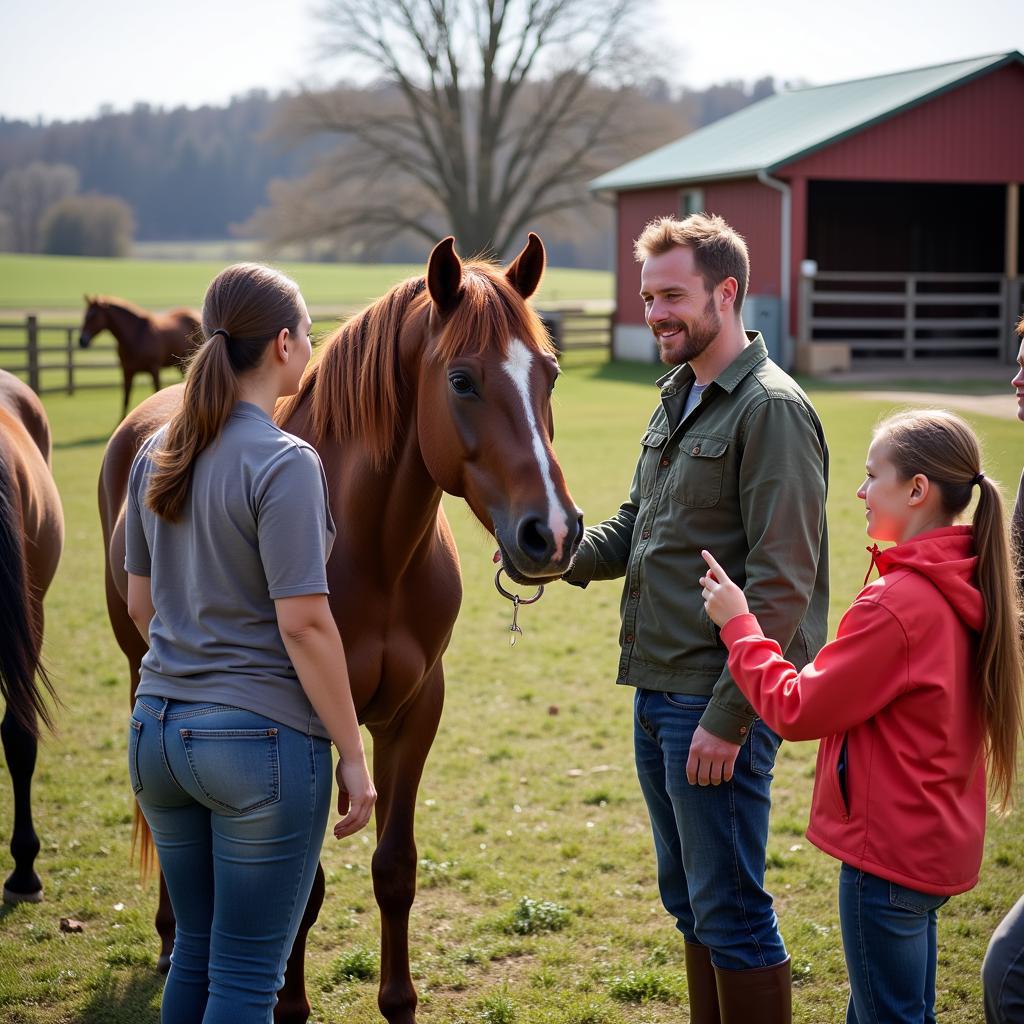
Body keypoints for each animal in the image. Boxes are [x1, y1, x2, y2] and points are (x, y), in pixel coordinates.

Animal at [100, 234, 589, 1024]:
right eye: (462, 380)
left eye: (548, 373)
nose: (553, 532)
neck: (372, 552)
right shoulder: (308, 725)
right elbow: (304, 894)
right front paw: (291, 1006)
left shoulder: (413, 715)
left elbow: (394, 869)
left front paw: (399, 1003)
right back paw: (173, 938)